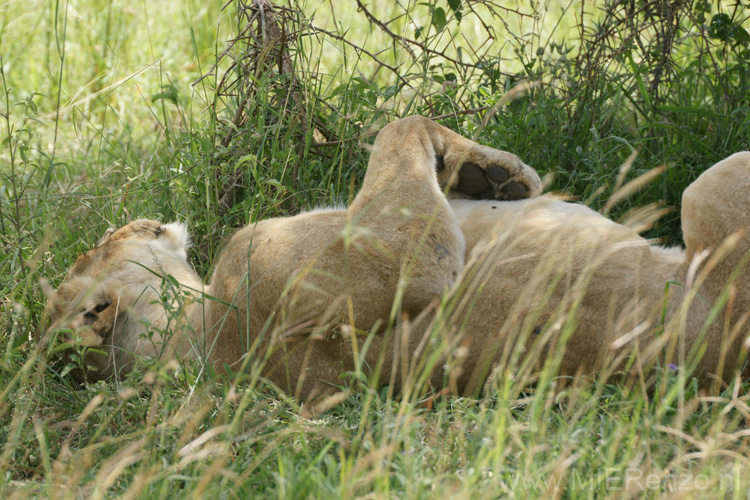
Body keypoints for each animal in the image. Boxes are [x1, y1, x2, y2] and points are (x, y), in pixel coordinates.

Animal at [47, 116, 750, 398]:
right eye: (93, 250)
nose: (126, 220)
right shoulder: (387, 266)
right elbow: (399, 129)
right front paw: (494, 172)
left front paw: (491, 176)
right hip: (708, 192)